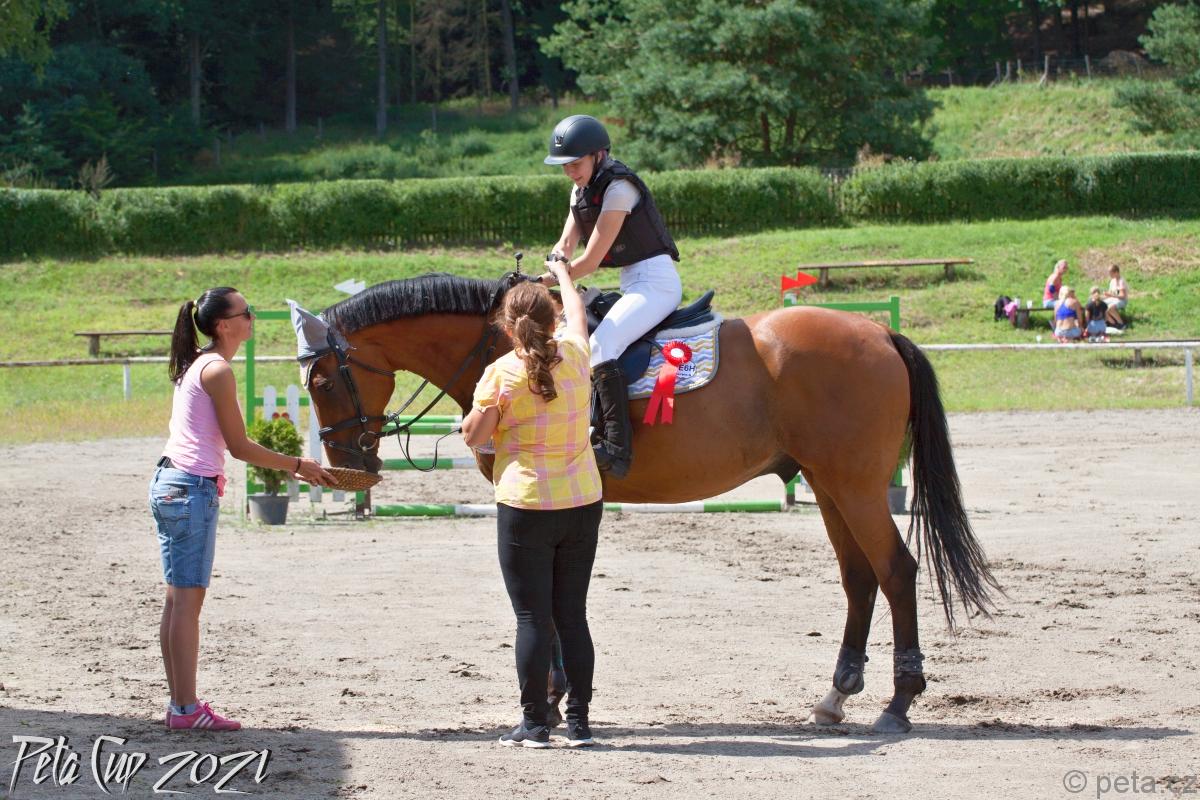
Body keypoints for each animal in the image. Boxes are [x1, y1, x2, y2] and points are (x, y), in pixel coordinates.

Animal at [288, 272, 999, 733]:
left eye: (321, 381)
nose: (349, 468)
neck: (506, 342)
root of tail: (879, 333)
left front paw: (550, 703)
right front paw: (558, 699)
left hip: (853, 486)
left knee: (896, 572)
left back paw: (898, 703)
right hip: (829, 485)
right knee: (859, 578)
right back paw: (835, 696)